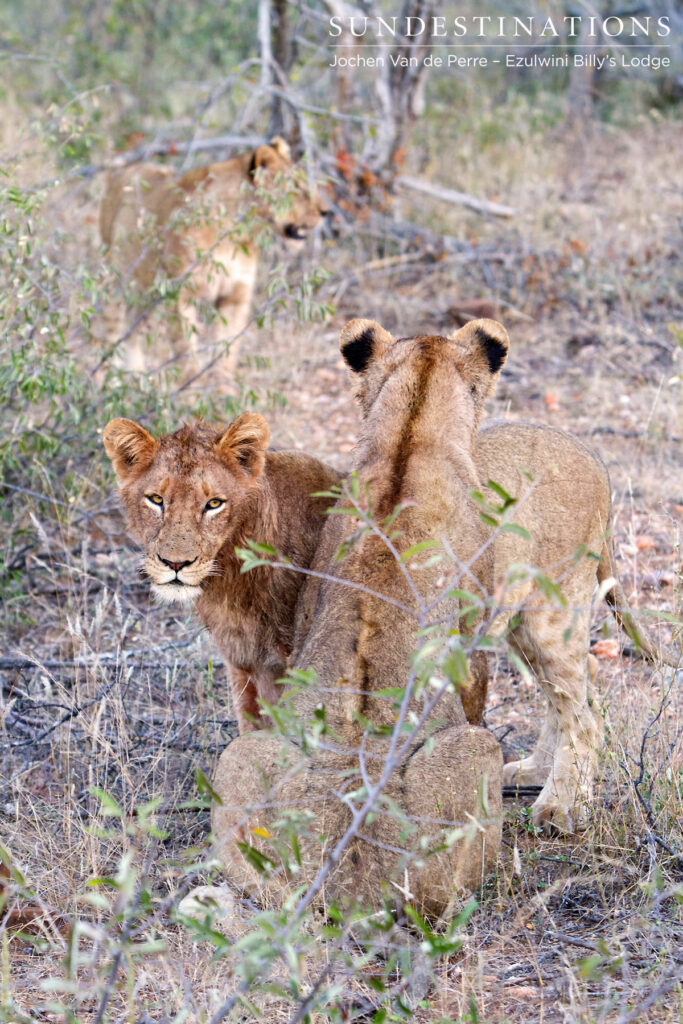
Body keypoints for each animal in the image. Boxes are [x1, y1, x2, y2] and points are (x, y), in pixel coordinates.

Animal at [100, 137, 329, 383]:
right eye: (296, 187)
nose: (326, 212)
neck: (236, 233)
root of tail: (127, 169)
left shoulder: (235, 296)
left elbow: (227, 351)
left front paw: (222, 388)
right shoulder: (179, 296)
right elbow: (186, 353)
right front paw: (192, 391)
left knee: (133, 331)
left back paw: (137, 377)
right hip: (118, 281)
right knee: (112, 330)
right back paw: (110, 381)